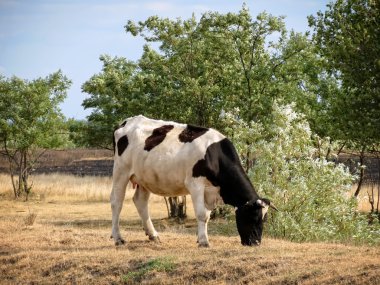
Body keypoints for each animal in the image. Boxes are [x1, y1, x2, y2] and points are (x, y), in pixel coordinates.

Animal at [110, 115, 276, 246]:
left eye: (264, 219)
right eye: (252, 217)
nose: (256, 243)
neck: (214, 156)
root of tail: (126, 122)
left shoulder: (209, 191)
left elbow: (207, 215)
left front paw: (200, 238)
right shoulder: (195, 184)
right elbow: (202, 214)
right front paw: (204, 241)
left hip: (144, 177)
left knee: (140, 201)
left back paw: (153, 235)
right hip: (121, 171)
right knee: (116, 202)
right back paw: (118, 238)